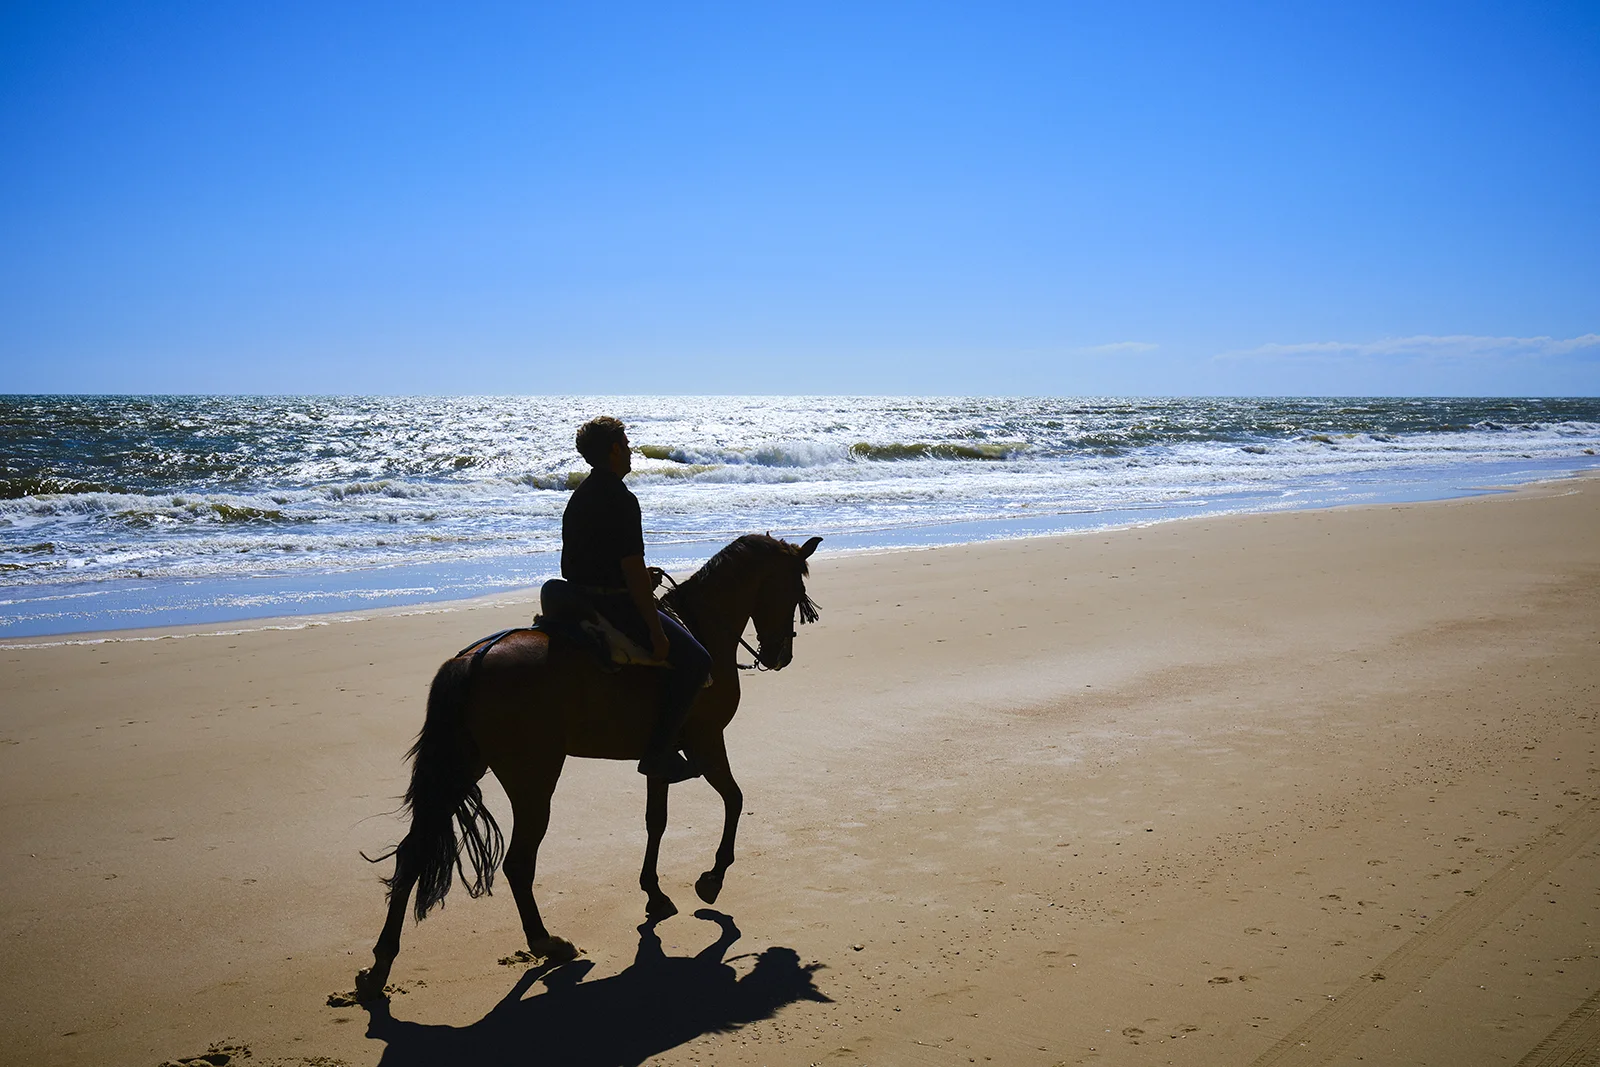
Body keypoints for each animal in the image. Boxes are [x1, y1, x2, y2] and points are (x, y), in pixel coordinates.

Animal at [355, 533, 823, 999]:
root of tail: (473, 659)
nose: (781, 655)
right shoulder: (707, 743)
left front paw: (654, 892)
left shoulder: (661, 758)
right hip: (533, 778)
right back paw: (546, 943)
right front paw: (712, 879)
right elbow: (735, 799)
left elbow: (656, 821)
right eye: (794, 592)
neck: (703, 626)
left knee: (413, 852)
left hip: (461, 767)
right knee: (517, 863)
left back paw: (380, 965)